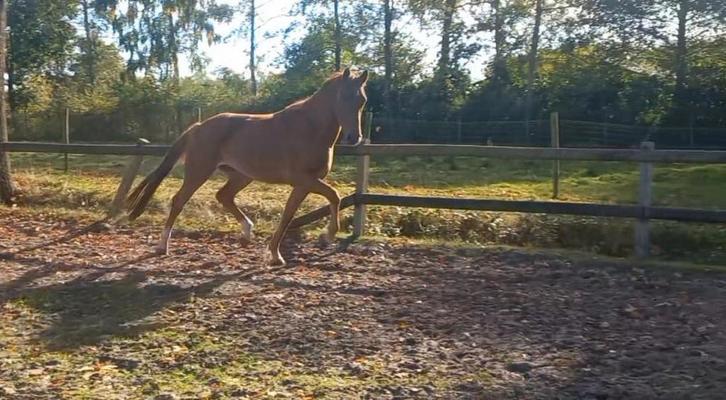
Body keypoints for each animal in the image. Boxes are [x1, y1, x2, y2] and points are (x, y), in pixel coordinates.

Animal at [125, 68, 369, 265]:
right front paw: (321, 238)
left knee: (223, 196)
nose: (353, 137)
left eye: (362, 101)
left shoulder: (305, 184)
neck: (310, 128)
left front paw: (279, 253)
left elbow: (296, 212)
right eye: (343, 96)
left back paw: (246, 232)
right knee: (179, 200)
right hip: (199, 172)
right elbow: (329, 198)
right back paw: (162, 246)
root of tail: (198, 126)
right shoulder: (303, 181)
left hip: (242, 176)